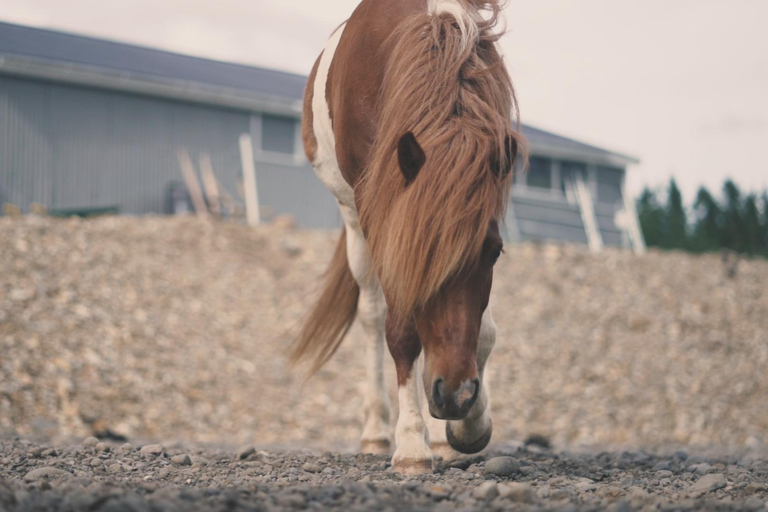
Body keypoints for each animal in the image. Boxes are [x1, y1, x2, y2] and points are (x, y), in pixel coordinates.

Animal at [290, 0, 524, 475]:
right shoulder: (380, 220)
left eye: (495, 253)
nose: (456, 395)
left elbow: (484, 331)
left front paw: (470, 425)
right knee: (372, 315)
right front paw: (412, 444)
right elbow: (399, 332)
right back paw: (378, 431)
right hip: (354, 225)